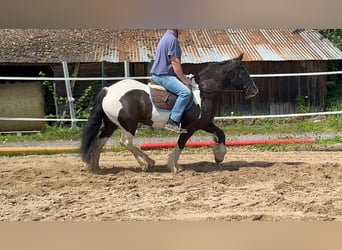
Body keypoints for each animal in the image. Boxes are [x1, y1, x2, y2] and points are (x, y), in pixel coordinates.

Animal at [80, 52, 256, 174]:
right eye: (242, 71)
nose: (254, 90)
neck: (203, 92)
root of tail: (108, 90)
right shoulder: (190, 127)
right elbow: (180, 144)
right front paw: (174, 166)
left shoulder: (205, 123)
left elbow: (221, 134)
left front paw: (219, 155)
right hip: (128, 124)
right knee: (126, 142)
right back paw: (146, 162)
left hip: (111, 124)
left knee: (100, 141)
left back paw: (94, 166)